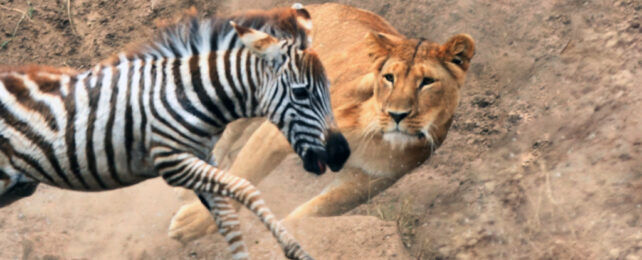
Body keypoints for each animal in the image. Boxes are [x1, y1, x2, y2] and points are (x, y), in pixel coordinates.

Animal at [0, 4, 350, 260]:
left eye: (329, 87)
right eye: (301, 93)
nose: (341, 153)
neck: (193, 95)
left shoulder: (202, 158)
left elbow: (226, 218)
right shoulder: (172, 162)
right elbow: (245, 188)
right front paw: (294, 249)